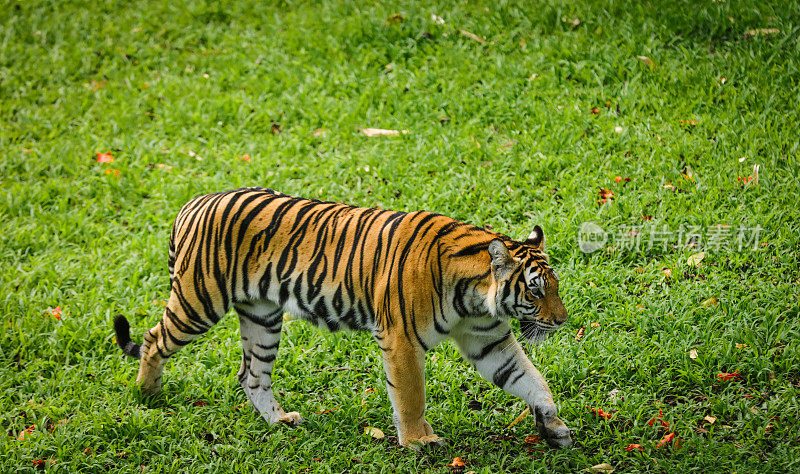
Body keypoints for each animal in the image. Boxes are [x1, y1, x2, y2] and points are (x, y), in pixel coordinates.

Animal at [114, 185, 576, 448]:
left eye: (554, 285)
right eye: (535, 290)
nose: (562, 321)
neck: (476, 297)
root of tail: (193, 202)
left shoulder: (488, 340)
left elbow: (530, 379)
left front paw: (553, 425)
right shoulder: (401, 340)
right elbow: (411, 396)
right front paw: (418, 441)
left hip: (262, 318)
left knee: (251, 374)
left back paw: (280, 421)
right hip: (199, 302)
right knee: (154, 340)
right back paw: (148, 394)